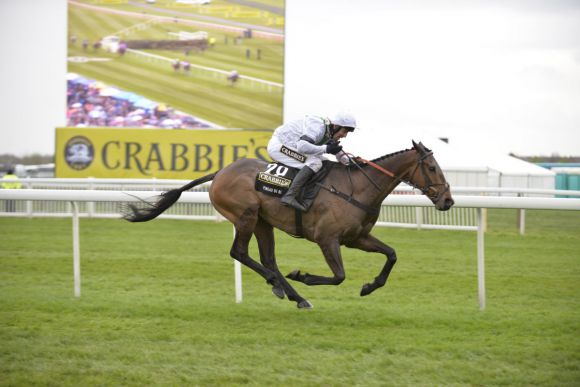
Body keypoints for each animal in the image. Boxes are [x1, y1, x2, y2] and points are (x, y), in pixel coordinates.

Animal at [124, 142, 456, 310]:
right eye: (431, 167)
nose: (448, 200)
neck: (358, 188)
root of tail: (220, 172)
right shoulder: (327, 239)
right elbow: (338, 276)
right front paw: (303, 276)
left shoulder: (357, 237)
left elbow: (392, 254)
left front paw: (369, 286)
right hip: (246, 215)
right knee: (239, 253)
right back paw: (284, 286)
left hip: (263, 222)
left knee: (267, 258)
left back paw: (290, 293)